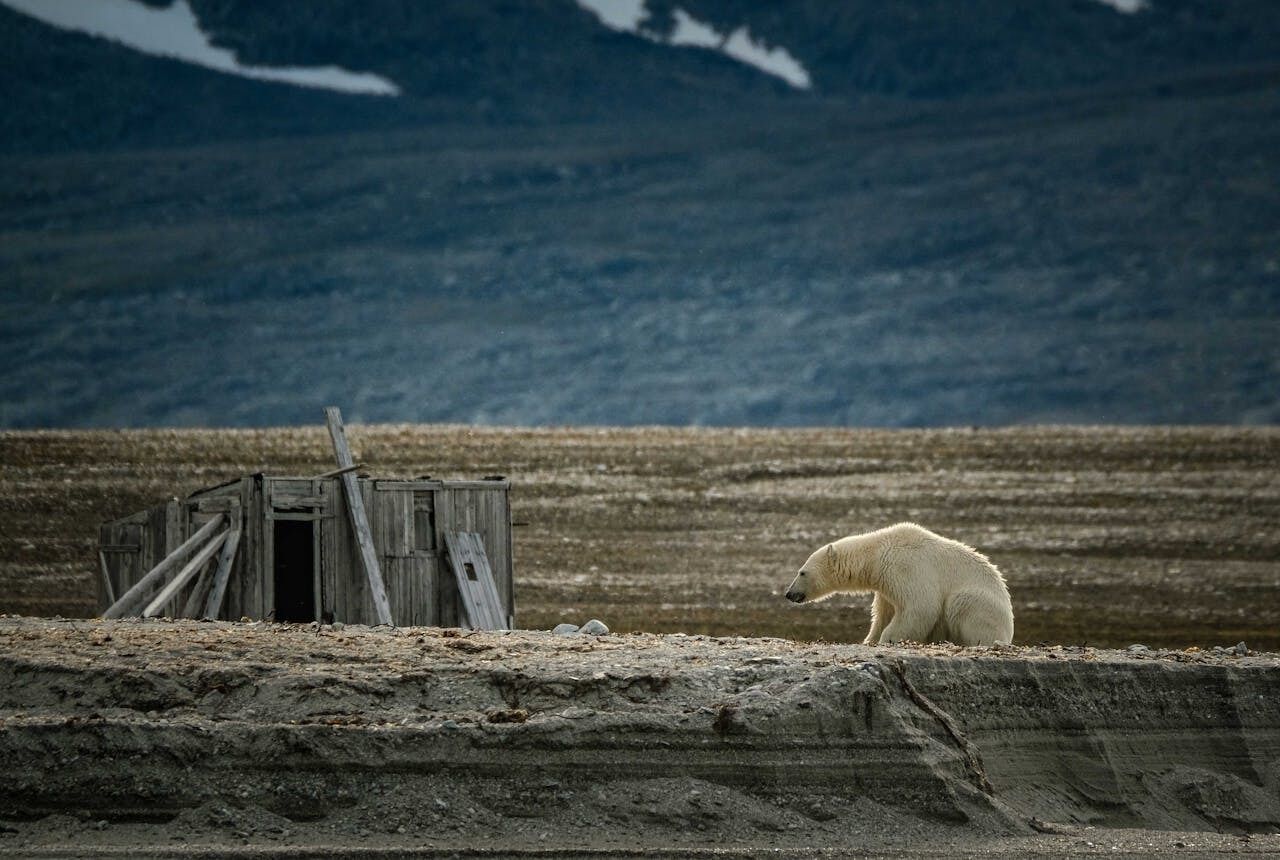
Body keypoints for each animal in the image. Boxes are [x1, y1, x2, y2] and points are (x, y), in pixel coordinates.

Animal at [783, 524, 1013, 645]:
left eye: (801, 572)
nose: (789, 593)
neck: (876, 554)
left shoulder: (905, 567)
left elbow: (920, 607)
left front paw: (888, 639)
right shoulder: (885, 585)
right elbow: (883, 614)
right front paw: (870, 640)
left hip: (981, 605)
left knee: (961, 604)